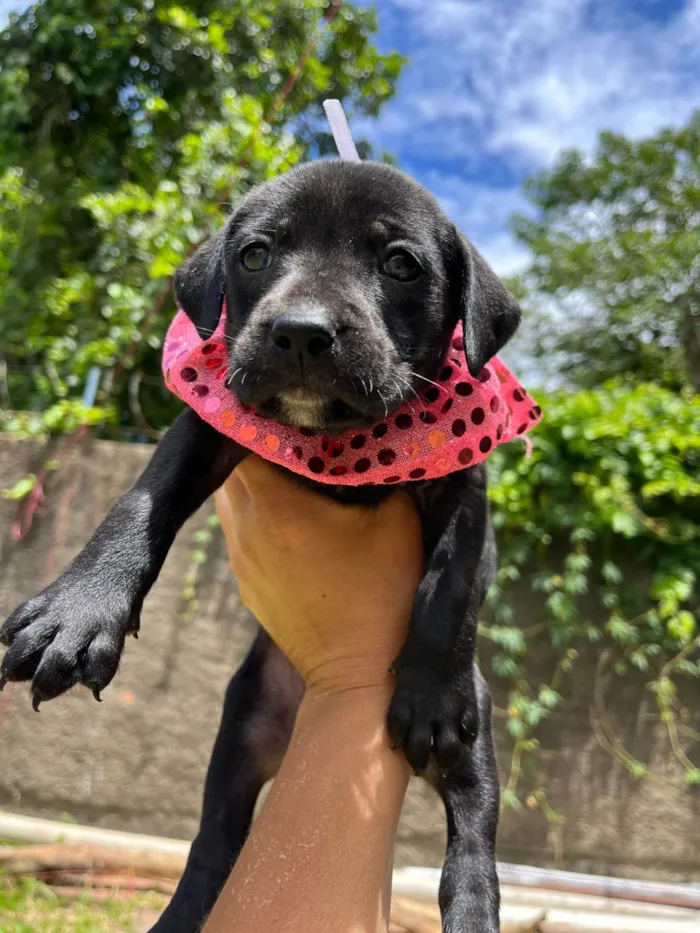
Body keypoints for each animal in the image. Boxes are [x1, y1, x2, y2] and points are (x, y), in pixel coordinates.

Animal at [0, 162, 520, 932]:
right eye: (253, 255)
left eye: (401, 265)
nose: (301, 332)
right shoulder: (207, 430)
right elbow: (142, 501)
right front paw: (81, 608)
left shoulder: (466, 485)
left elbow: (453, 582)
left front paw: (428, 688)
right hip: (240, 734)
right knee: (215, 841)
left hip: (474, 730)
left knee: (474, 836)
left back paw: (473, 905)